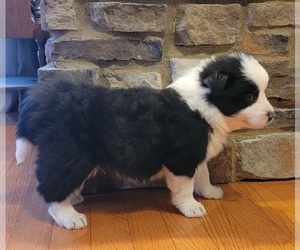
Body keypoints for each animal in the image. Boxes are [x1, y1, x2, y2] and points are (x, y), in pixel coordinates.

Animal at [15, 52, 274, 229]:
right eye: (250, 96)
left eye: (262, 92)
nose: (272, 115)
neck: (204, 103)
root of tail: (42, 101)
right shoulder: (181, 159)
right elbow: (184, 187)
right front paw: (191, 207)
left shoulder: (196, 153)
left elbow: (203, 174)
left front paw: (210, 192)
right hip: (70, 154)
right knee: (49, 186)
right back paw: (69, 217)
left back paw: (73, 198)